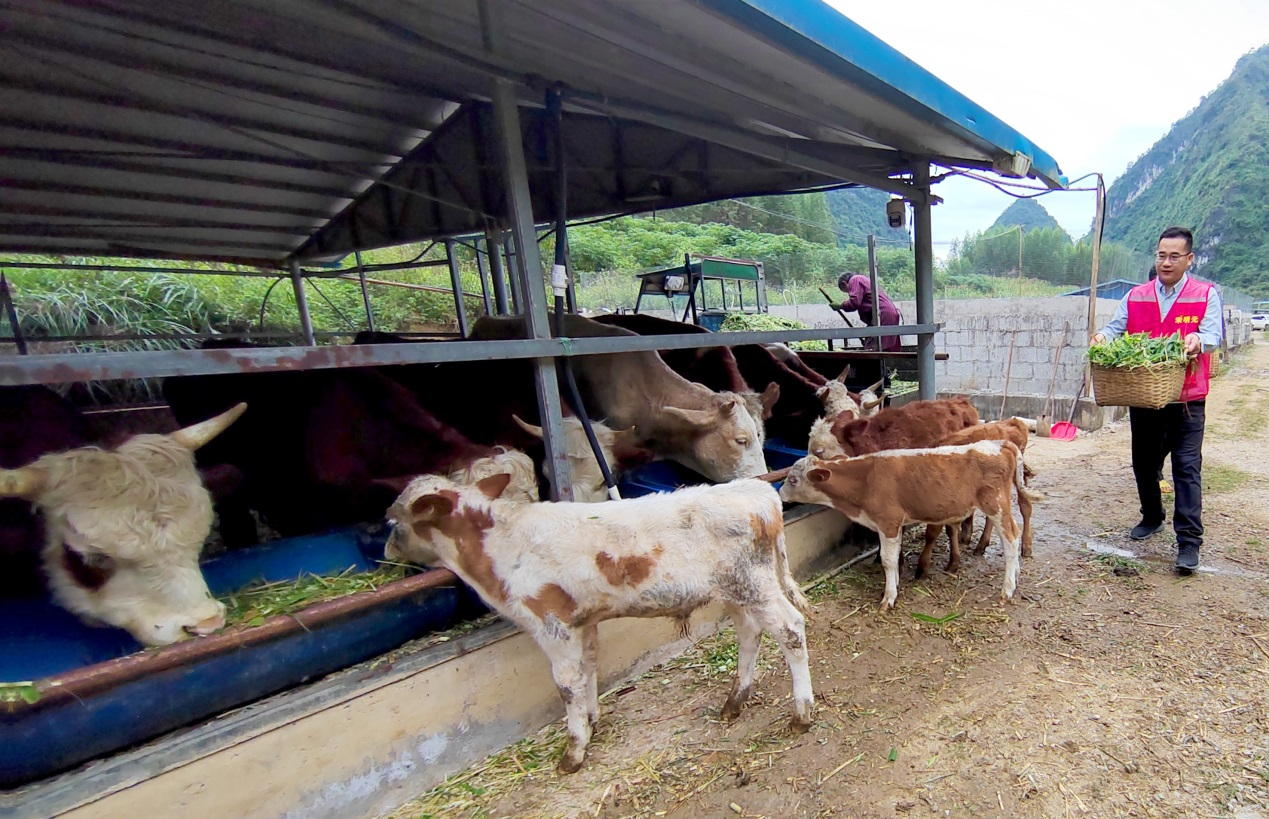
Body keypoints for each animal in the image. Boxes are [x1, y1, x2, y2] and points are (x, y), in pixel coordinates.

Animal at [385, 472, 812, 772]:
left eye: (393, 521)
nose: (388, 552)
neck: (500, 544)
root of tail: (755, 491)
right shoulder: (583, 621)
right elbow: (589, 666)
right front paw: (593, 721)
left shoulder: (552, 624)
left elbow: (566, 685)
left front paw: (573, 751)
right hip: (736, 591)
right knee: (750, 633)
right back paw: (734, 702)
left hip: (752, 585)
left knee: (789, 628)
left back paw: (801, 713)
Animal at [776, 441, 1045, 606]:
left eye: (792, 480)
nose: (779, 496)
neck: (865, 478)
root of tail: (997, 443)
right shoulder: (893, 525)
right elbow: (895, 558)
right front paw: (893, 588)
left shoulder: (888, 521)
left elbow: (887, 560)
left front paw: (888, 598)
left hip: (995, 505)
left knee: (1011, 538)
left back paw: (1007, 589)